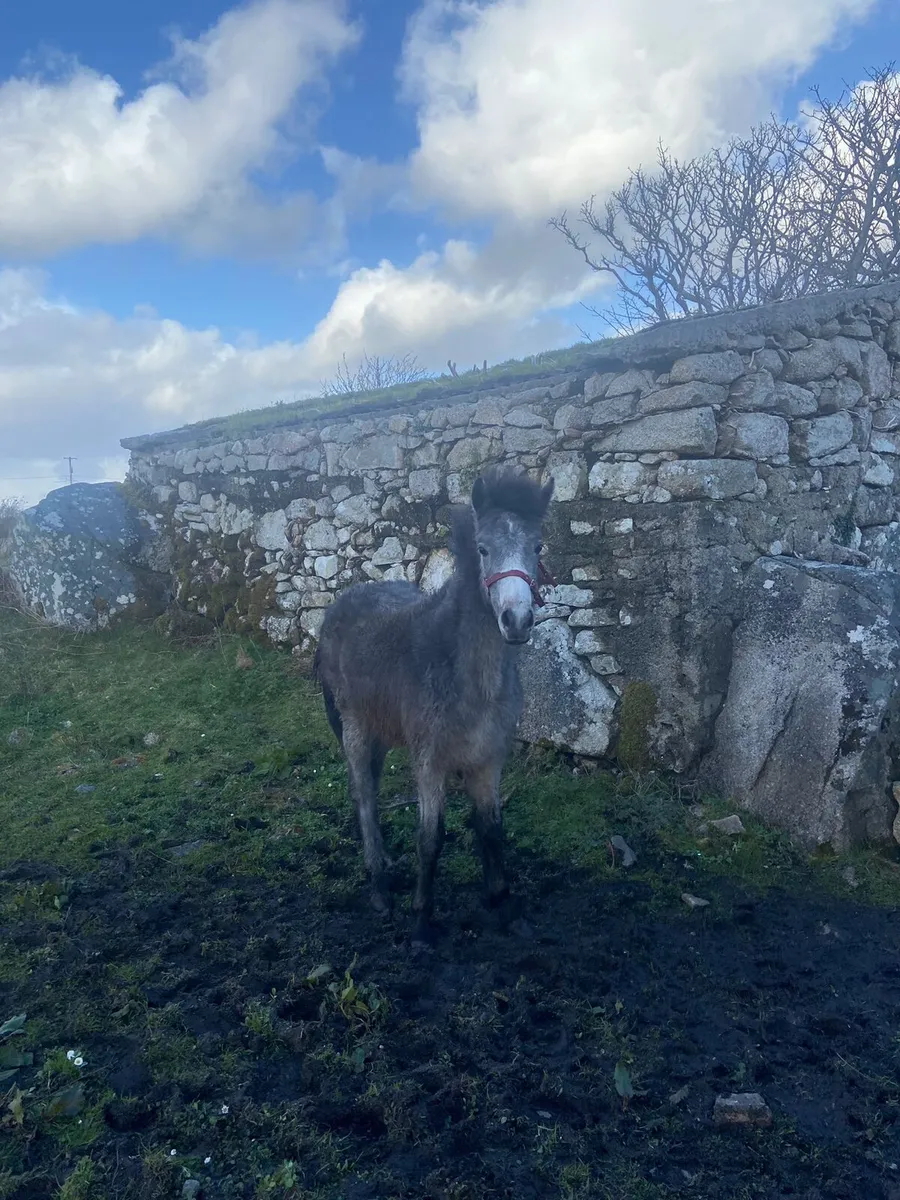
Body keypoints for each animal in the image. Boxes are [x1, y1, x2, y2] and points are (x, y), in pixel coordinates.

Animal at [313, 468, 555, 946]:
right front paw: (422, 920)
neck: (469, 676)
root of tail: (337, 607)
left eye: (537, 547)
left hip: (381, 733)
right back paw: (379, 887)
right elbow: (431, 837)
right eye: (483, 549)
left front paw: (504, 904)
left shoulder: (488, 760)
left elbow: (492, 830)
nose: (517, 622)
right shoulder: (429, 760)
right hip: (355, 728)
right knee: (364, 795)